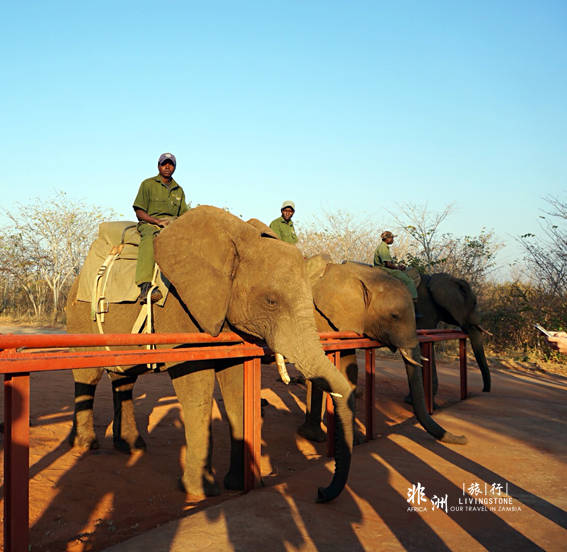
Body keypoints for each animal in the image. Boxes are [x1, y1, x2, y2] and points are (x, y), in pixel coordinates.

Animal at [66, 205, 356, 502]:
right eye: (271, 301)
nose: (320, 492)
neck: (241, 239)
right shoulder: (184, 312)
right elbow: (197, 389)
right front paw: (200, 491)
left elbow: (238, 389)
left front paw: (242, 484)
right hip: (80, 318)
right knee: (88, 375)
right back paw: (86, 444)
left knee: (124, 377)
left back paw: (132, 447)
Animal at [298, 256, 466, 446]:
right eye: (394, 316)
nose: (464, 438)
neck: (363, 276)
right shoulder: (321, 316)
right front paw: (318, 438)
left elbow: (348, 370)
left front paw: (354, 441)